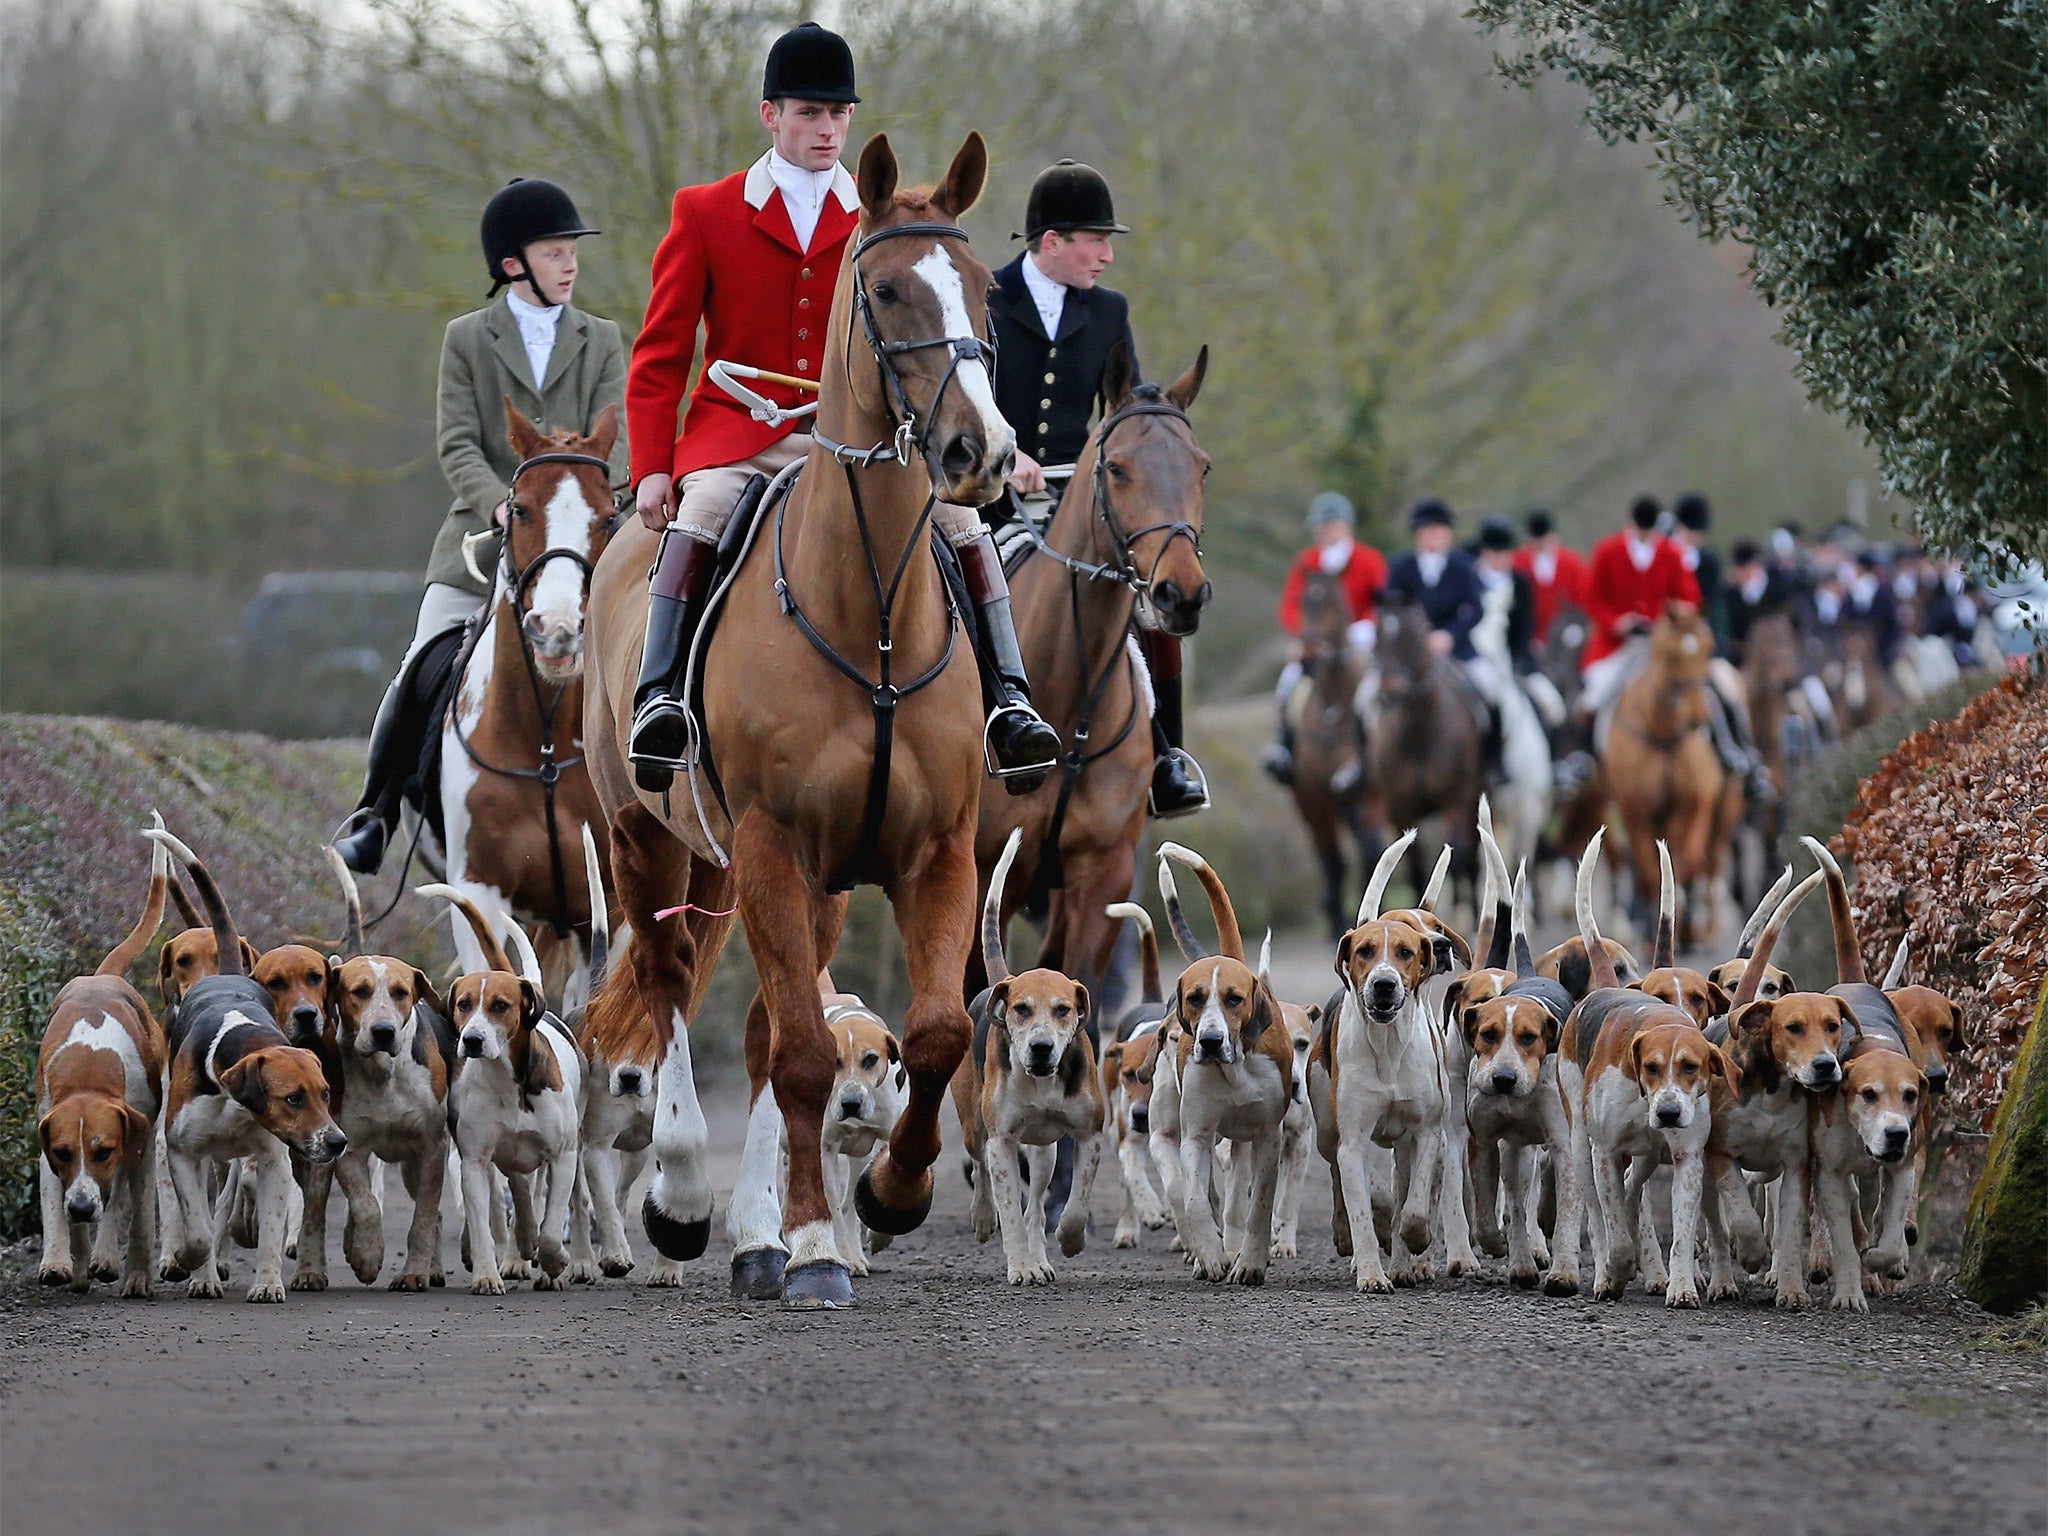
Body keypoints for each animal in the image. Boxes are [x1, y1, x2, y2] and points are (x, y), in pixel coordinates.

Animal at [585, 135, 1007, 1310]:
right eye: (887, 288)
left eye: (987, 288)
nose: (983, 452)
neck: (869, 616)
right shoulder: (773, 844)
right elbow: (811, 1056)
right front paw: (817, 1243)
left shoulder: (933, 851)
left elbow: (932, 1031)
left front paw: (888, 1198)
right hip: (651, 840)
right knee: (668, 988)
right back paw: (687, 1202)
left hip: (786, 881)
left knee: (768, 1027)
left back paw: (755, 1234)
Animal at [1277, 573, 1376, 946]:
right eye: (1303, 603)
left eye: (1333, 603)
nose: (1308, 656)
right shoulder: (1312, 797)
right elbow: (1331, 860)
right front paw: (1334, 914)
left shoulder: (1361, 797)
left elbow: (1369, 851)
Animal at [1368, 602, 1482, 913]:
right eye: (1377, 636)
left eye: (1411, 637)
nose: (1389, 694)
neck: (1419, 735)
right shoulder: (1400, 807)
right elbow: (1416, 867)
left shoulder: (1456, 800)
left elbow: (1460, 858)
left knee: (1472, 860)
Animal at [1605, 606, 1736, 950]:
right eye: (1670, 656)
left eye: (1708, 648)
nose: (1699, 716)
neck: (1662, 732)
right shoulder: (1633, 810)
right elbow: (1649, 869)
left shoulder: (1692, 805)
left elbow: (1684, 863)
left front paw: (1685, 926)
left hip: (1724, 811)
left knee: (1710, 860)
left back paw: (1706, 927)